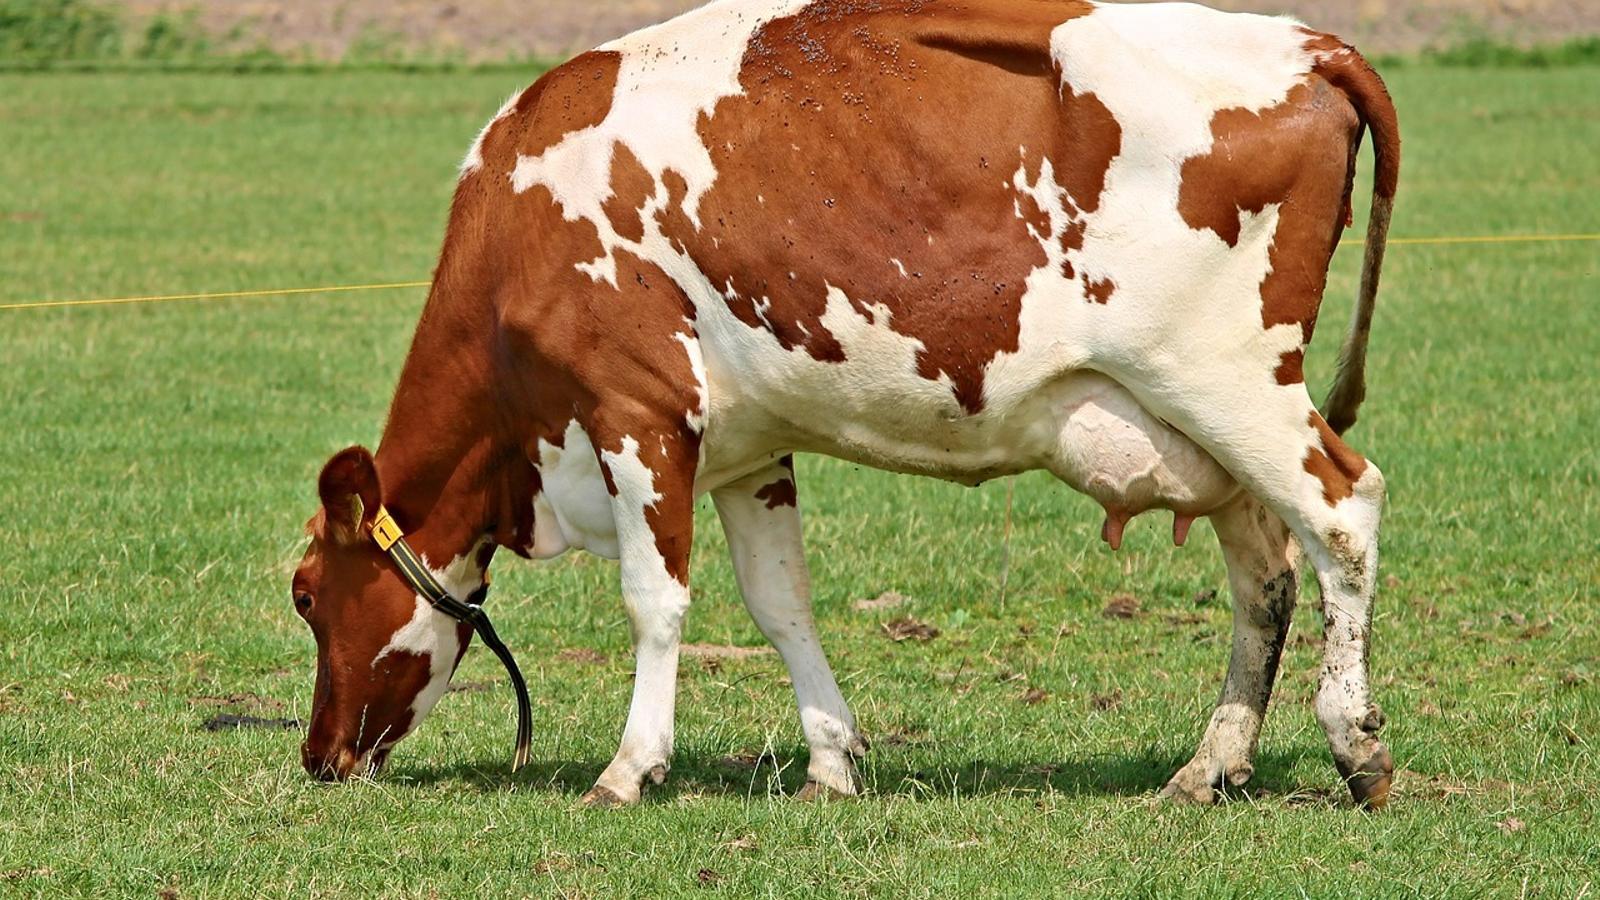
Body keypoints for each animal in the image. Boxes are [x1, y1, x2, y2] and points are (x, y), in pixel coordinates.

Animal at [291, 0, 1400, 808]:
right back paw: (1208, 766)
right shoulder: (747, 449)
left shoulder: (637, 416)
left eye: (305, 596)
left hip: (1229, 383)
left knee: (1344, 512)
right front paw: (830, 762)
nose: (317, 757)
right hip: (1205, 431)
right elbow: (780, 601)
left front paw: (629, 768)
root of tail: (1310, 44)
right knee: (1266, 576)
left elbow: (655, 600)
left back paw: (1355, 746)